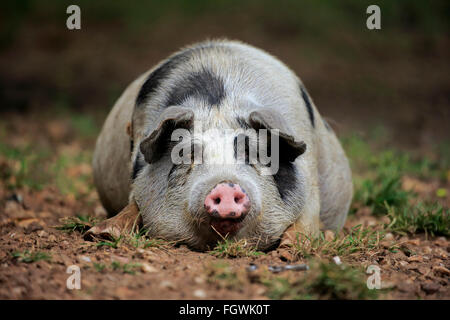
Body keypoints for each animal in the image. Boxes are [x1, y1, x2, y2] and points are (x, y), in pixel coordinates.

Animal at [86, 38, 354, 251]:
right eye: (187, 155)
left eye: (255, 155)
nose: (225, 186)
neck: (220, 104)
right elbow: (134, 203)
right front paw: (99, 234)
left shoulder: (309, 174)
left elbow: (308, 213)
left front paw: (291, 246)